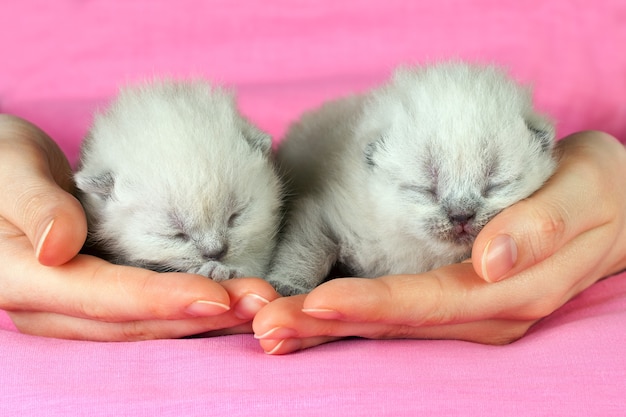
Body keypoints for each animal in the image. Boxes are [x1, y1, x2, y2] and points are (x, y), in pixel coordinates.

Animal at [268, 62, 556, 296]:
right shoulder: (329, 209)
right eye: (425, 189)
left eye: (496, 184)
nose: (461, 216)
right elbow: (307, 246)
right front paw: (288, 285)